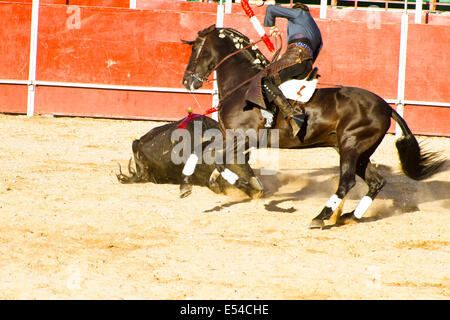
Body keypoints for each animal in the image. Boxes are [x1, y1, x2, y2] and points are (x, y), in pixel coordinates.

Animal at [181, 25, 444, 229]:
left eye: (196, 48)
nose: (187, 81)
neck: (243, 85)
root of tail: (386, 107)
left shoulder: (243, 137)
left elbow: (217, 159)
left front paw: (249, 186)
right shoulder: (229, 136)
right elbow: (201, 151)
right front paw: (188, 184)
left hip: (351, 146)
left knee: (347, 182)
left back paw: (321, 217)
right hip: (357, 152)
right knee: (376, 182)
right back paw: (348, 216)